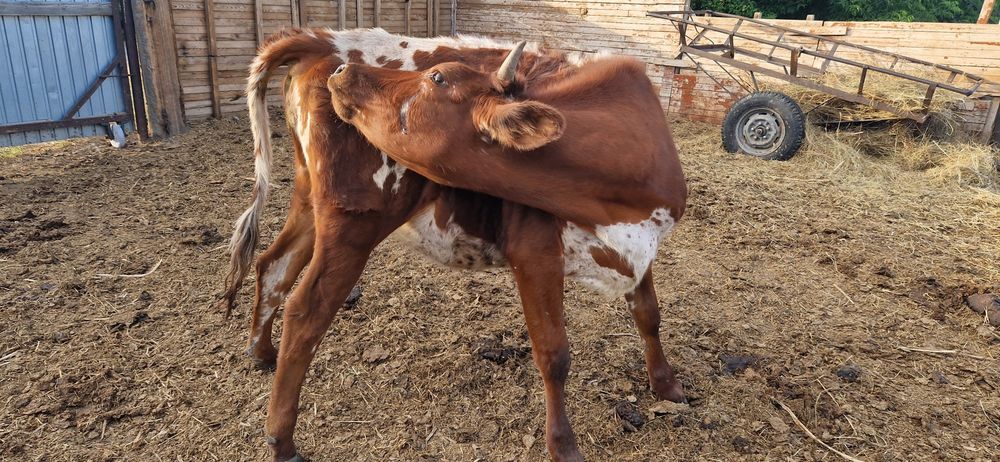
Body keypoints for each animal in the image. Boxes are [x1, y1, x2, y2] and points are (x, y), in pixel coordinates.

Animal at [225, 28, 686, 462]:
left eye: (437, 77)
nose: (345, 73)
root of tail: (319, 39)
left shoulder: (643, 249)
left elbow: (649, 315)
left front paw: (667, 385)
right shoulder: (534, 253)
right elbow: (554, 355)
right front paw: (563, 445)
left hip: (309, 200)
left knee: (273, 266)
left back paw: (261, 353)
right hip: (352, 223)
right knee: (304, 312)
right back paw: (281, 439)